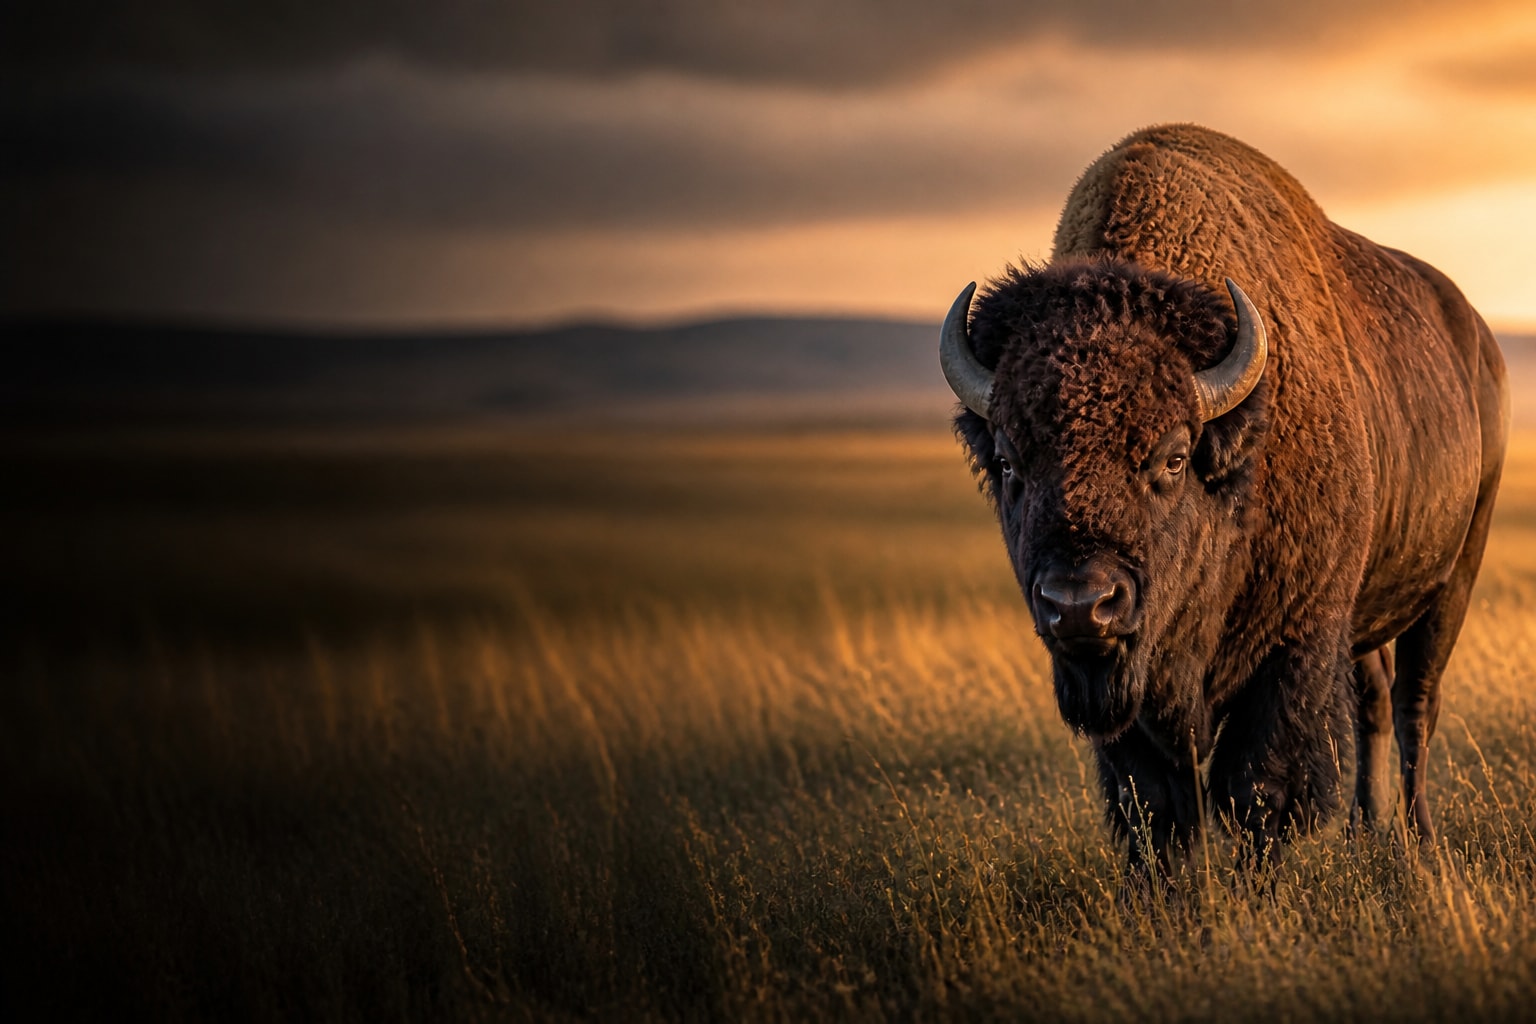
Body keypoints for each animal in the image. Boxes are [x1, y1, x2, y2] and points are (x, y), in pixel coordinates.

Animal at [941, 124, 1507, 874]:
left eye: (1174, 458)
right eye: (1008, 462)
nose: (1080, 605)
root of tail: (1479, 339)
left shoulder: (1296, 640)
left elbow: (1259, 788)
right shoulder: (1132, 681)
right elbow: (1154, 801)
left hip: (1453, 578)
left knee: (1415, 702)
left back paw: (1417, 839)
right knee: (1375, 702)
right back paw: (1365, 832)